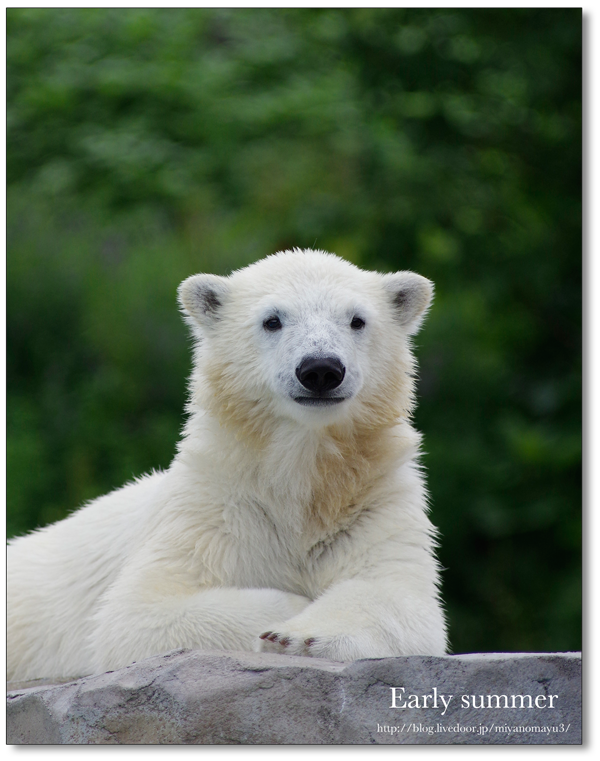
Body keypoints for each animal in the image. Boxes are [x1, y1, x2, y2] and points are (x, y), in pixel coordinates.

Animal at [7, 251, 448, 684]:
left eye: (357, 319)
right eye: (272, 320)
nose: (320, 369)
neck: (302, 477)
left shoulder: (373, 501)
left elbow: (400, 598)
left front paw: (298, 636)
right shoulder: (216, 508)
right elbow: (138, 613)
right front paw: (289, 613)